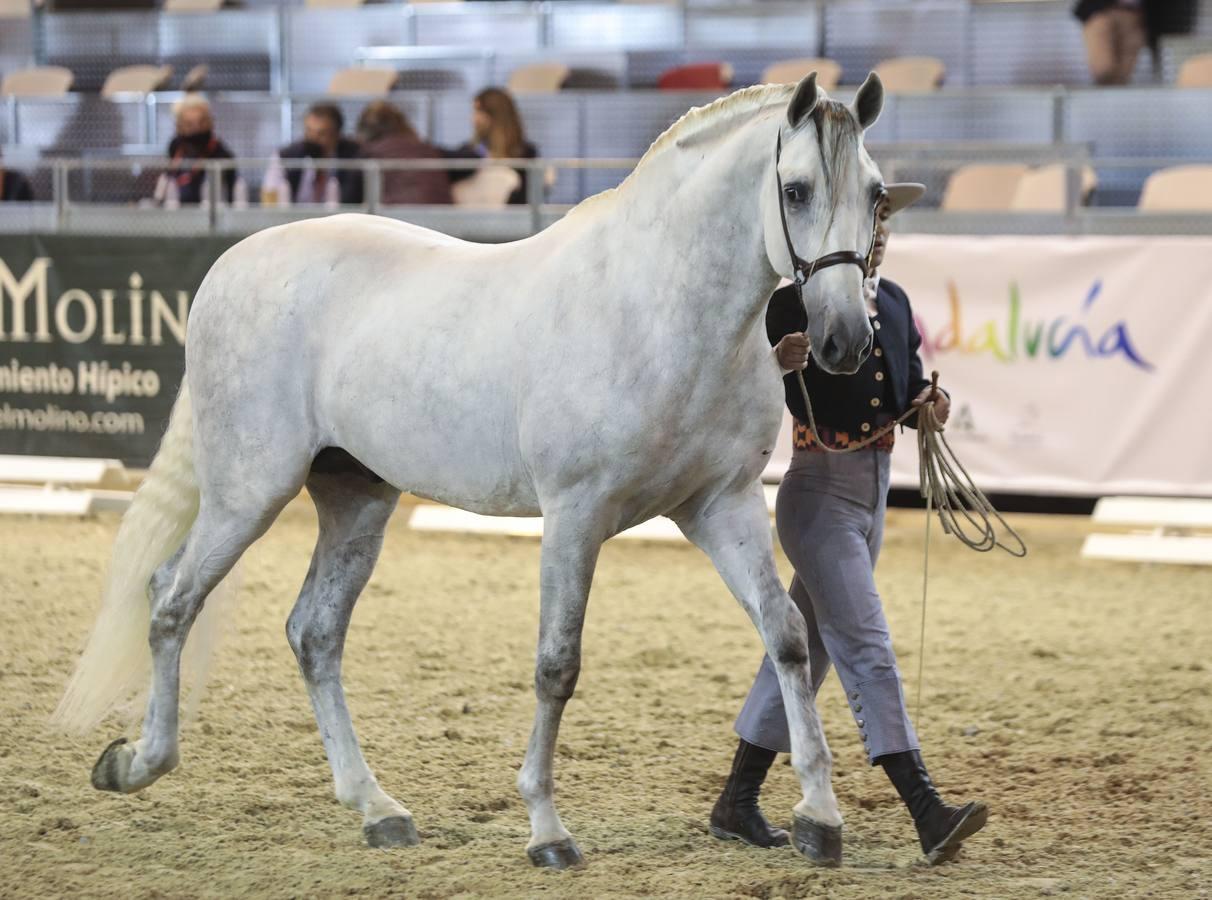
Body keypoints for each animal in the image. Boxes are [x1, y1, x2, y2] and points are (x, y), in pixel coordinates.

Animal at [56, 72, 887, 872]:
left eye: (877, 193)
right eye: (796, 189)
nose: (845, 340)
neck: (656, 311)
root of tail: (230, 266)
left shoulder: (722, 507)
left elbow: (785, 636)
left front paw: (819, 819)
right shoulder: (576, 514)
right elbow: (557, 665)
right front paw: (547, 832)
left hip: (355, 500)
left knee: (313, 633)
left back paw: (377, 809)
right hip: (248, 494)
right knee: (171, 599)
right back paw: (136, 762)